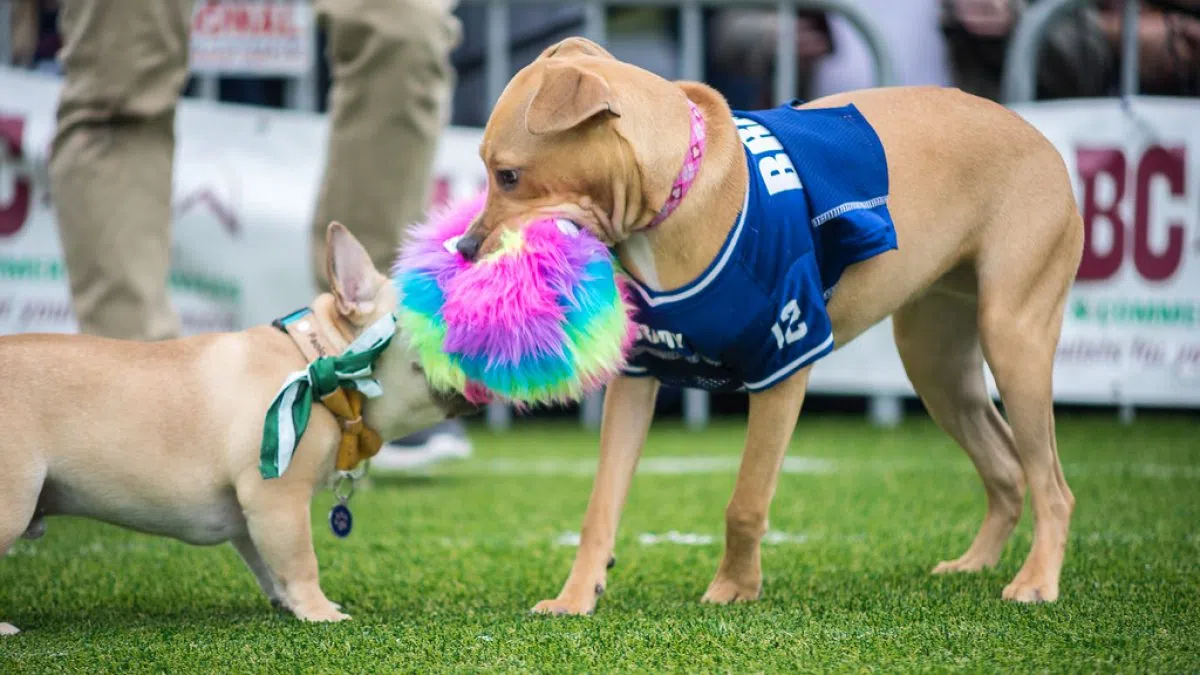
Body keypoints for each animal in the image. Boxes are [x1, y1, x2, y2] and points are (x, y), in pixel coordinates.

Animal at [0, 223, 472, 634]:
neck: (321, 362)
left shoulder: (255, 516)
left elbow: (268, 563)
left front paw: (289, 602)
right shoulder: (279, 499)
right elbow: (301, 560)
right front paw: (319, 612)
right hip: (12, 502)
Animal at [456, 38, 1080, 614]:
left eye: (507, 175)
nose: (462, 248)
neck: (676, 195)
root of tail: (1038, 136)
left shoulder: (784, 364)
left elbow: (747, 500)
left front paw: (734, 588)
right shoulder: (637, 378)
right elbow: (601, 503)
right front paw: (577, 595)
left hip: (1013, 338)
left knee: (1052, 484)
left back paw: (1035, 581)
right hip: (938, 366)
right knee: (1007, 469)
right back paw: (976, 564)